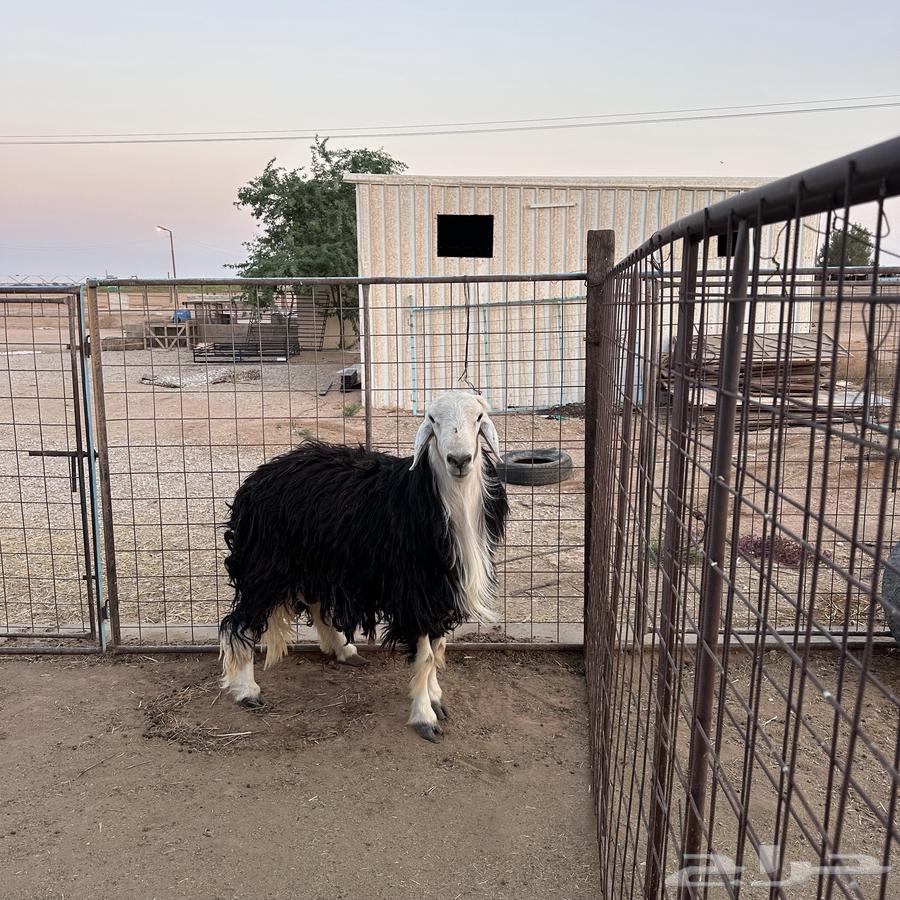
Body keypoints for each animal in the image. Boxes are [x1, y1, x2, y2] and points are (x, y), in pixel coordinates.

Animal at [218, 390, 509, 742]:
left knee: (314, 602)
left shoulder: (440, 589)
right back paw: (247, 691)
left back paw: (343, 650)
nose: (460, 460)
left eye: (479, 418)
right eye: (432, 419)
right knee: (239, 623)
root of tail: (256, 481)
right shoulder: (415, 590)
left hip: (315, 559)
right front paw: (424, 717)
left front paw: (436, 697)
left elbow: (438, 647)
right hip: (267, 565)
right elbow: (426, 656)